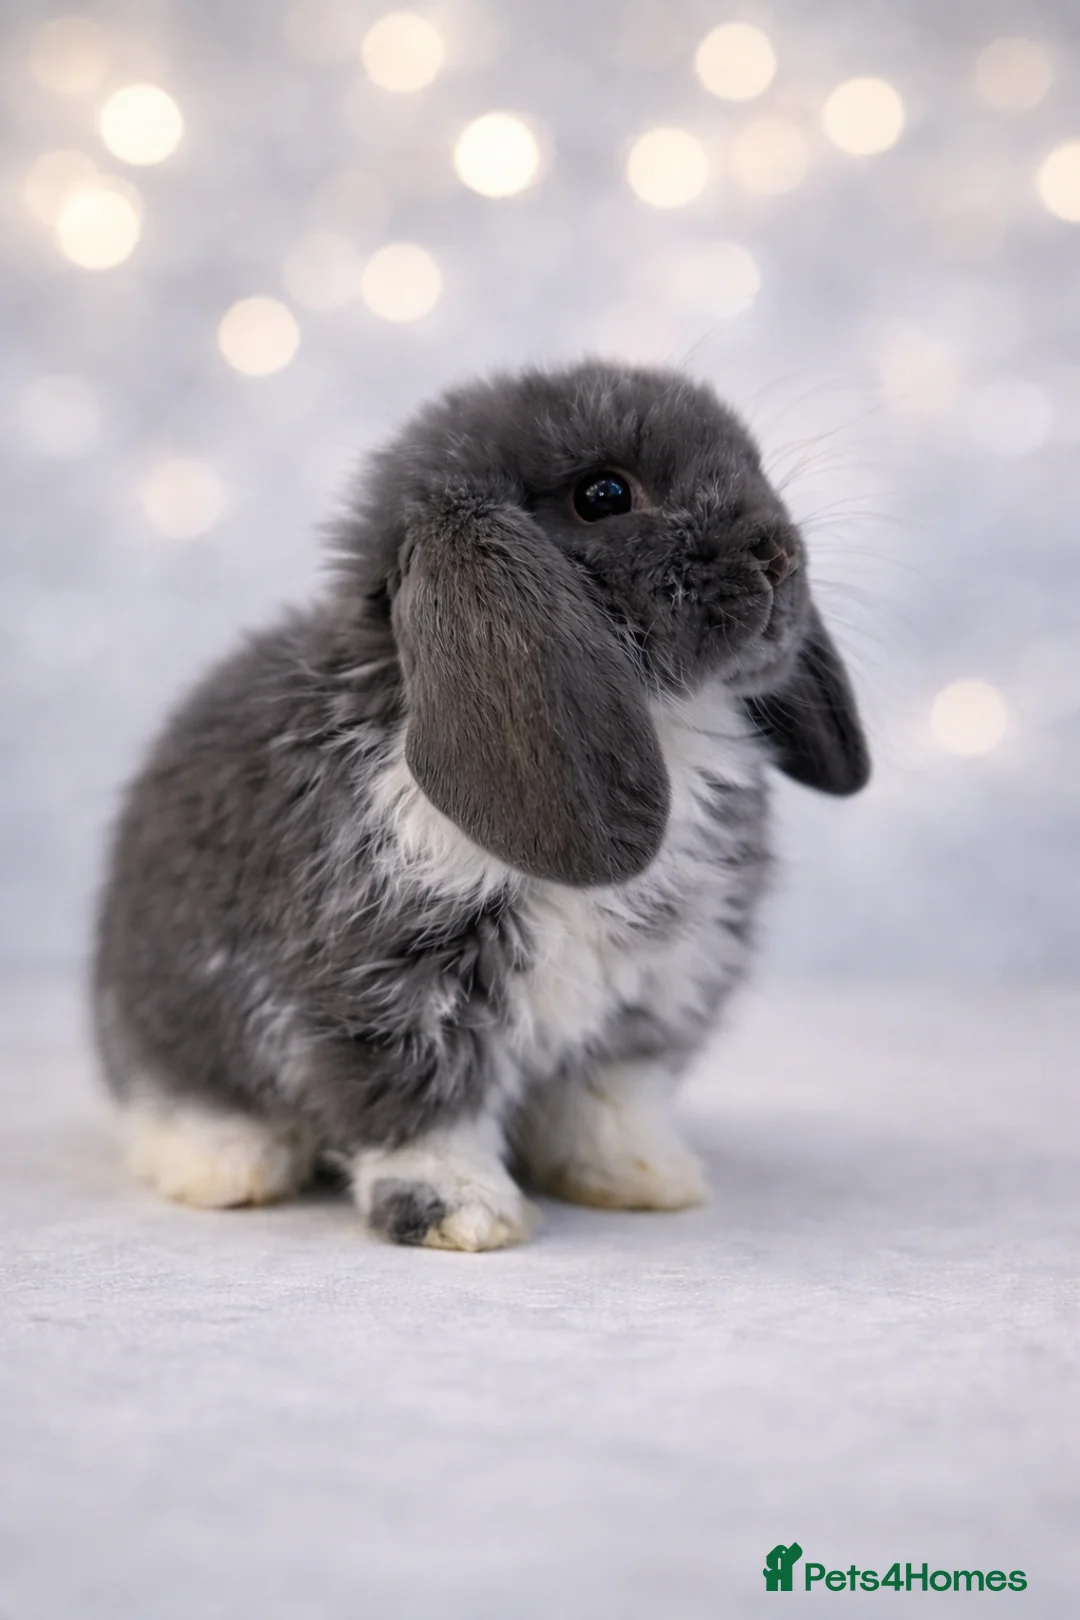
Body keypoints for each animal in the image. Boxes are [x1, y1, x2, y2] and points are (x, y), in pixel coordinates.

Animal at [92, 359, 869, 1251]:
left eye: (754, 464)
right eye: (604, 495)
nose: (779, 552)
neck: (665, 722)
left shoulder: (645, 1001)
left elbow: (608, 1101)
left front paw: (646, 1180)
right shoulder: (387, 995)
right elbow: (423, 1113)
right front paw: (466, 1215)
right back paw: (228, 1170)